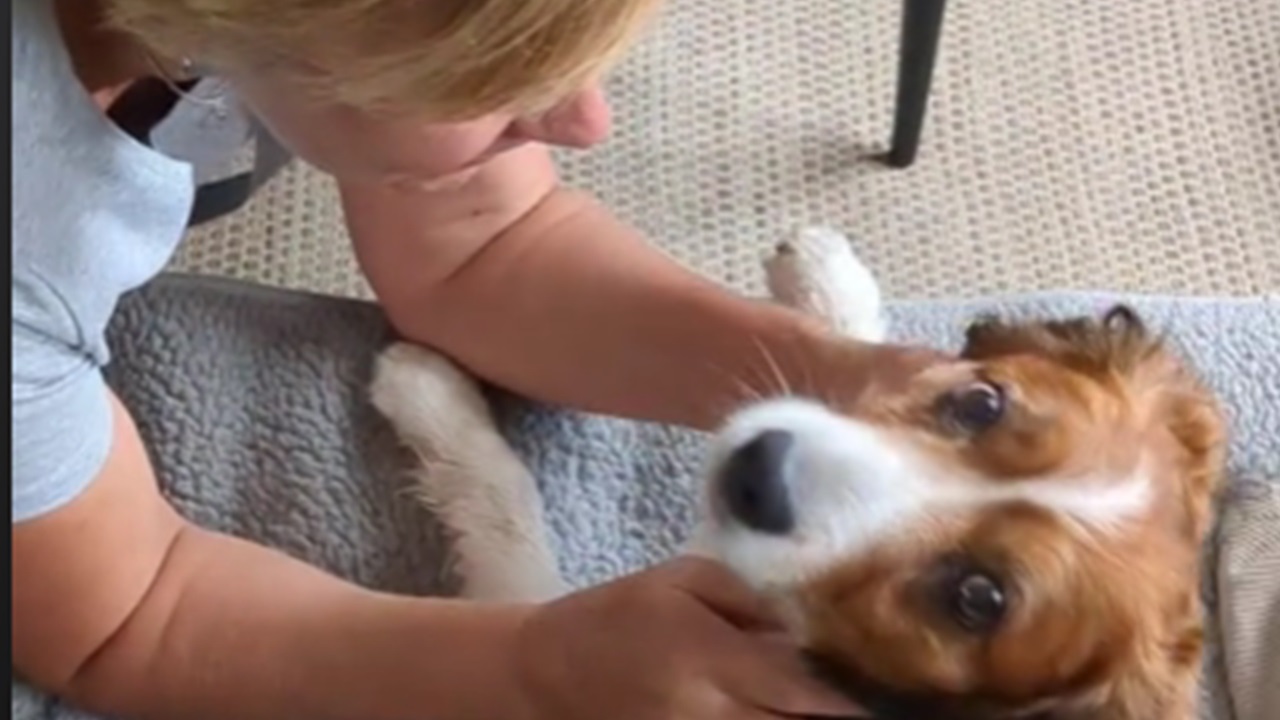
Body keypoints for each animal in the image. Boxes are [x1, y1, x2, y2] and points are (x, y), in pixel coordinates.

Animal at [371, 228, 1228, 717]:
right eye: (981, 403)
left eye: (978, 599)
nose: (757, 470)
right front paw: (825, 276)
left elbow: (510, 525)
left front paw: (428, 396)